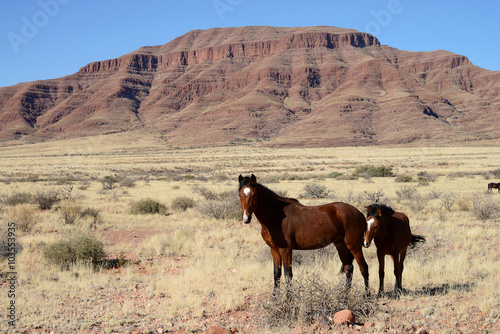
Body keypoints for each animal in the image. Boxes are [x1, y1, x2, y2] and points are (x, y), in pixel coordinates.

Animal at [238, 175, 372, 292]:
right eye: (239, 194)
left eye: (254, 194)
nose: (246, 218)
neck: (276, 216)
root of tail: (359, 213)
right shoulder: (274, 249)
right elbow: (276, 274)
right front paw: (274, 299)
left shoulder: (286, 249)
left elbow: (288, 275)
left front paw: (288, 301)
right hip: (341, 244)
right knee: (348, 268)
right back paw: (344, 296)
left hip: (354, 246)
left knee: (364, 268)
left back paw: (367, 296)